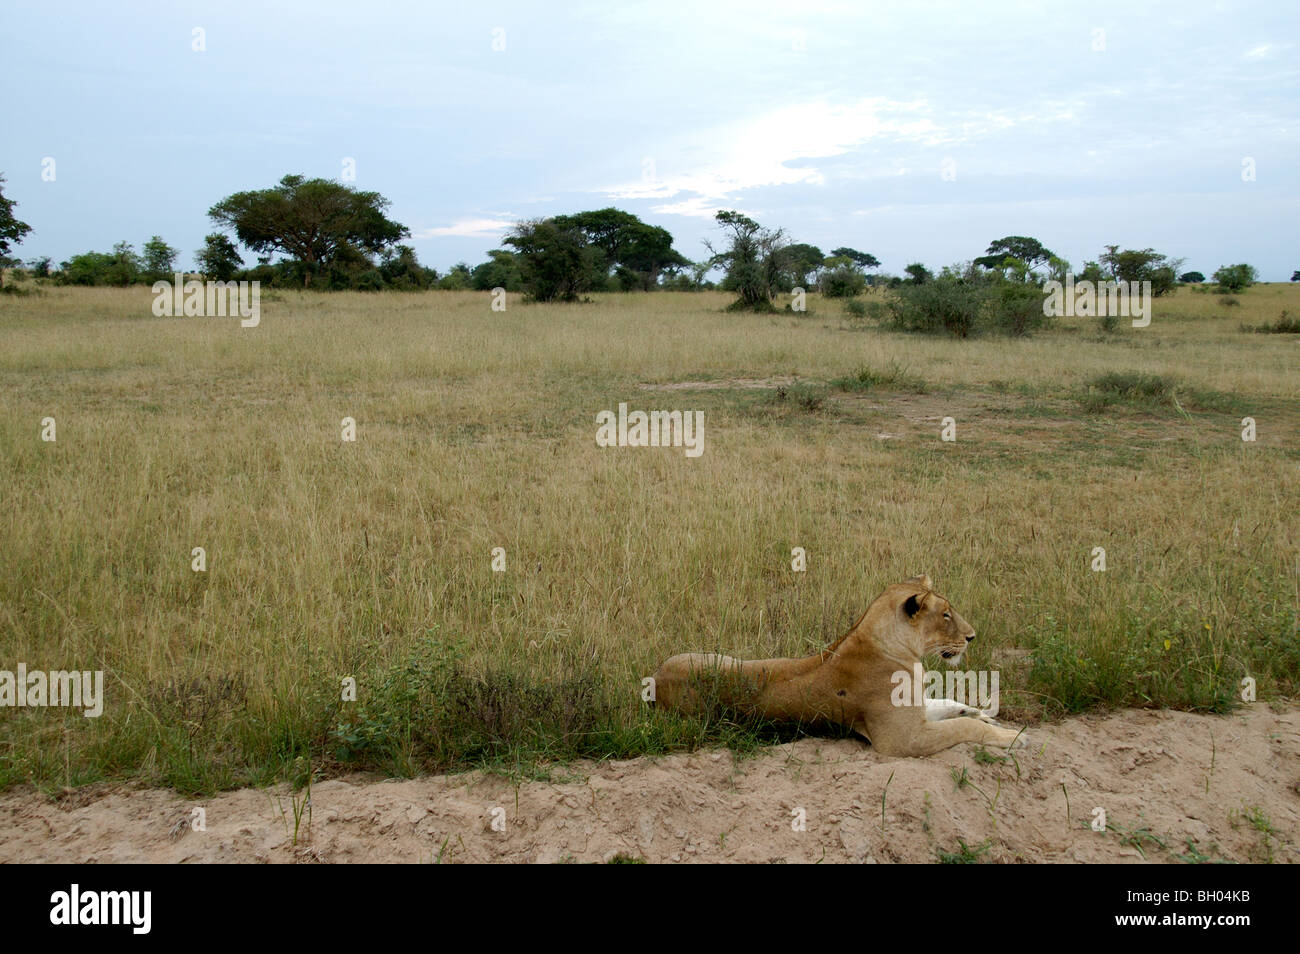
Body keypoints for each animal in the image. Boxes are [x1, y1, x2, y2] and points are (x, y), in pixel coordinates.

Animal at [650, 575, 1028, 757]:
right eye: (946, 614)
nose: (972, 637)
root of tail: (655, 681)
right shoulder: (902, 740)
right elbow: (965, 730)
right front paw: (1013, 737)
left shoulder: (917, 714)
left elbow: (949, 706)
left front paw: (981, 712)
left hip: (720, 657)